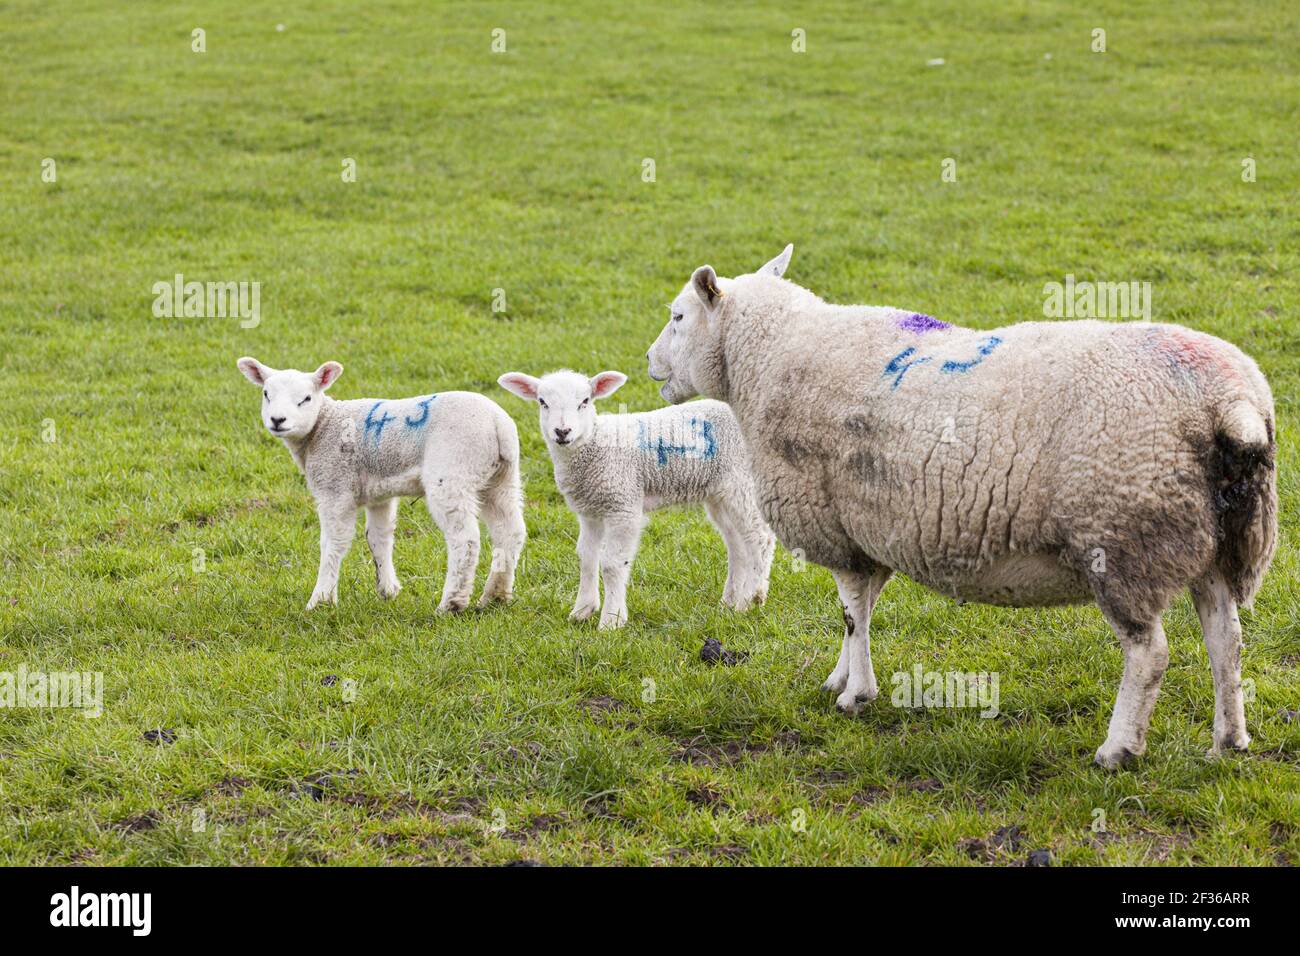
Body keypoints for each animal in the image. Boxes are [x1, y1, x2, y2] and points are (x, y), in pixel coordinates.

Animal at [236, 358, 525, 613]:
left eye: (305, 398)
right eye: (266, 394)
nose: (277, 420)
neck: (323, 426)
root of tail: (498, 425)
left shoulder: (335, 486)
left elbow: (333, 542)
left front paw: (321, 601)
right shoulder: (379, 494)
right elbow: (379, 537)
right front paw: (388, 590)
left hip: (453, 471)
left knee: (465, 539)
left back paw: (451, 604)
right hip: (500, 479)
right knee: (510, 532)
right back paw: (495, 596)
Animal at [496, 369, 769, 632]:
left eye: (585, 401)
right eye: (542, 402)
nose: (562, 432)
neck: (595, 444)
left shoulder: (623, 504)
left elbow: (612, 564)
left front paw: (611, 620)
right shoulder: (589, 511)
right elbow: (586, 558)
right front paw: (582, 611)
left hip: (742, 483)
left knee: (760, 538)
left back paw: (752, 598)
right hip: (719, 492)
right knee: (737, 544)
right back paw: (730, 602)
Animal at [644, 244, 1274, 770]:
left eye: (677, 317)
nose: (650, 363)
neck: (767, 357)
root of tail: (1232, 404)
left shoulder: (834, 524)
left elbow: (852, 612)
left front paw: (856, 694)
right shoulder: (873, 525)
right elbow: (860, 608)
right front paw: (839, 678)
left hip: (1125, 538)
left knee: (1150, 653)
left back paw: (1117, 750)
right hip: (1214, 542)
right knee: (1227, 642)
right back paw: (1229, 742)